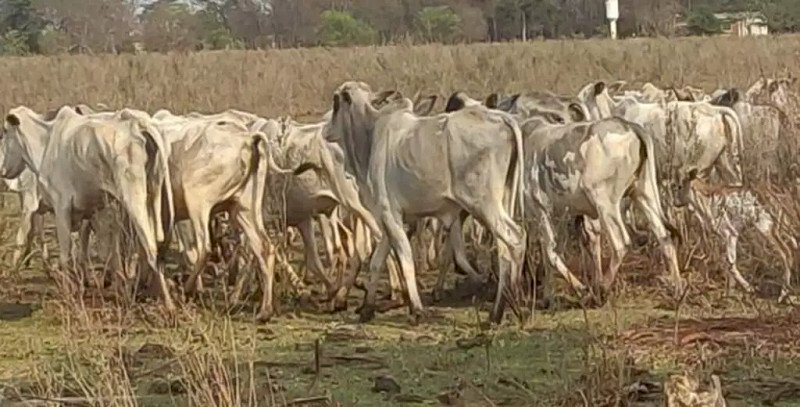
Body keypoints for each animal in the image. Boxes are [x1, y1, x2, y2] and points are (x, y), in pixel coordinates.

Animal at [1, 106, 175, 308]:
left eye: (5, 131)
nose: (3, 170)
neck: (46, 142)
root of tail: (139, 125)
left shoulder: (61, 207)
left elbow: (66, 255)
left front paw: (68, 293)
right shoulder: (98, 210)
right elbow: (109, 254)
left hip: (134, 199)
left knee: (150, 246)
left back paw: (167, 303)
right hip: (153, 198)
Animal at [328, 81, 526, 323]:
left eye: (336, 103)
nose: (326, 131)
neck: (371, 136)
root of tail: (502, 118)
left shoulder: (390, 214)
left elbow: (405, 258)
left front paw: (416, 308)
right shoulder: (389, 219)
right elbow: (377, 261)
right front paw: (367, 308)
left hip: (484, 206)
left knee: (515, 239)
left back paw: (505, 308)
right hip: (503, 200)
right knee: (505, 248)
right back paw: (506, 307)